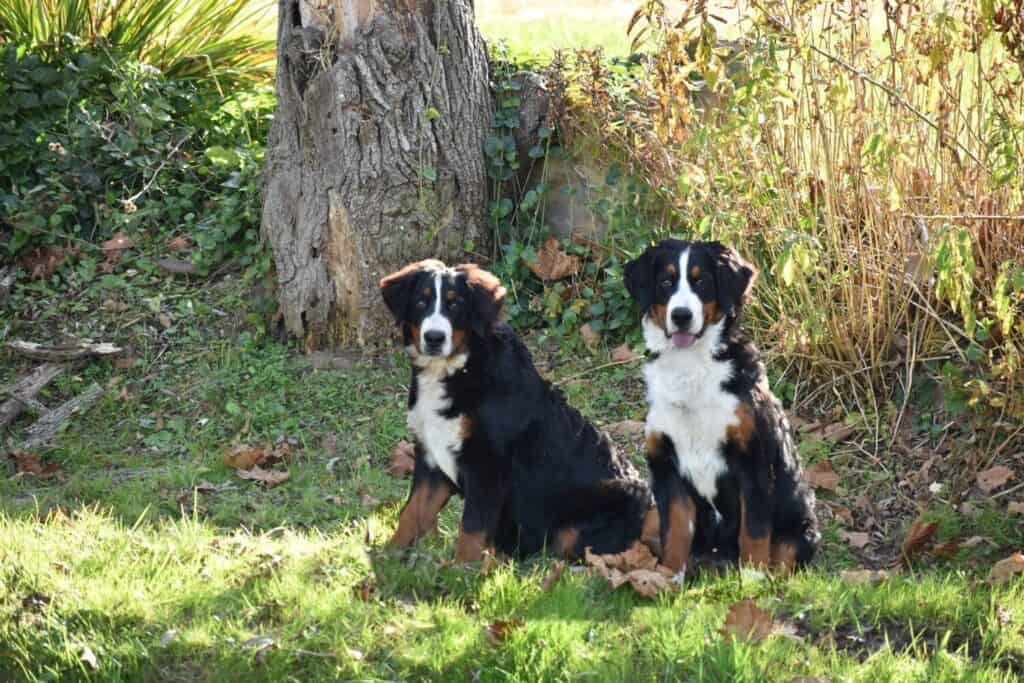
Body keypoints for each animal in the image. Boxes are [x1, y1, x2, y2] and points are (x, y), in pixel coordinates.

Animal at [378, 259, 655, 565]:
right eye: (420, 301)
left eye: (456, 304)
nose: (434, 338)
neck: (459, 368)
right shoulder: (431, 456)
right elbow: (412, 512)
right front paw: (388, 558)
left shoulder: (486, 463)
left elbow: (472, 528)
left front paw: (460, 570)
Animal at [618, 240, 819, 577]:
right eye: (666, 282)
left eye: (701, 282)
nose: (681, 315)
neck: (690, 367)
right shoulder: (666, 466)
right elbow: (675, 532)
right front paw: (667, 578)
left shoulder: (754, 461)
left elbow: (754, 532)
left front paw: (752, 580)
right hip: (651, 517)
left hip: (801, 529)